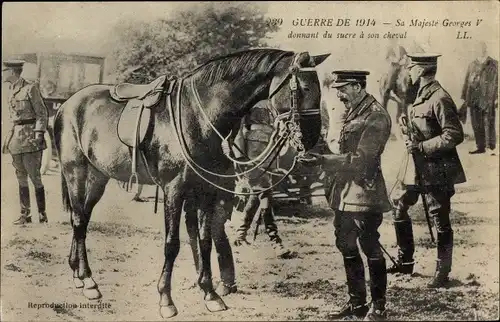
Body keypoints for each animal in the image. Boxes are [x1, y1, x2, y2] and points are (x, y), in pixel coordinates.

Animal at [52, 49, 330, 318]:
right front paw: (166, 299)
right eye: (304, 88)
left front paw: (211, 294)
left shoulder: (206, 191)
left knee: (83, 218)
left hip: (98, 177)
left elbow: (205, 241)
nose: (312, 138)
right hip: (75, 171)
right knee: (78, 220)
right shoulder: (174, 190)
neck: (198, 116)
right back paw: (88, 281)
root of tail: (66, 105)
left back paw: (78, 274)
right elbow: (172, 244)